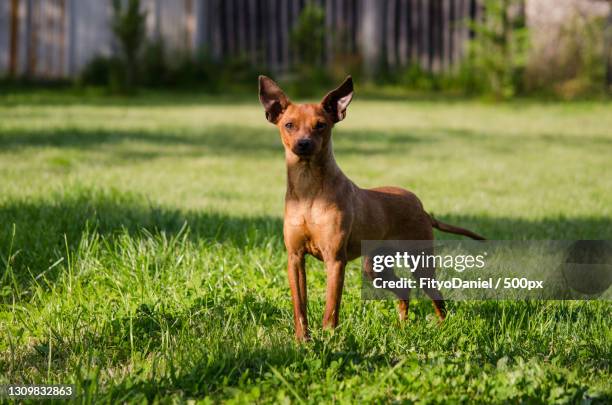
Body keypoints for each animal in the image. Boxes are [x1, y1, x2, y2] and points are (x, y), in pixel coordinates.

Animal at [258, 75, 482, 338]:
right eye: (289, 125)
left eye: (321, 125)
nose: (303, 144)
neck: (308, 191)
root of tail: (422, 208)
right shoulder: (295, 258)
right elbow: (300, 308)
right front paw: (302, 340)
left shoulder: (335, 260)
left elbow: (331, 310)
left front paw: (330, 339)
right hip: (375, 269)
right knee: (404, 290)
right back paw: (402, 327)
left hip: (421, 263)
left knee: (437, 297)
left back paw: (441, 328)